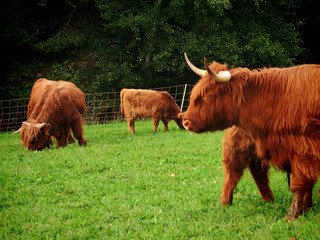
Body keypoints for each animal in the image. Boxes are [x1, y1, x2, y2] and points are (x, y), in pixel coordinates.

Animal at [182, 53, 320, 220]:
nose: (185, 121)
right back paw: (231, 202)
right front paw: (303, 210)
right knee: (239, 172)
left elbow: (299, 184)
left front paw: (293, 215)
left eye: (208, 96)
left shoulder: (304, 150)